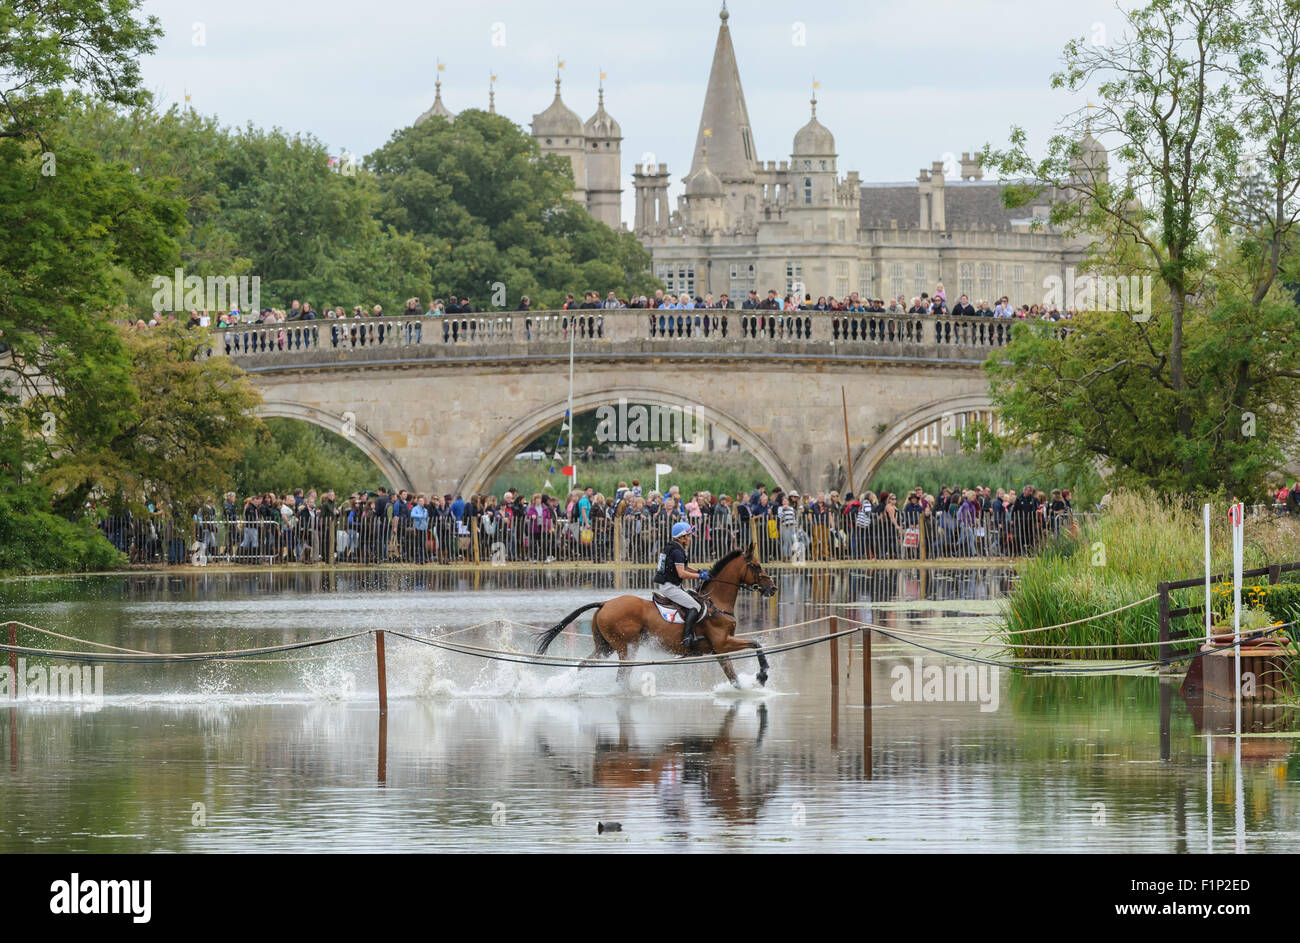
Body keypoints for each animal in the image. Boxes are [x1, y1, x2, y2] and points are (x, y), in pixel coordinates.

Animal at [533, 543, 774, 686]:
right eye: (756, 565)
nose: (772, 587)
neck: (717, 603)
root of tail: (604, 603)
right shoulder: (723, 644)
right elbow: (756, 644)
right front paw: (762, 675)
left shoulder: (720, 651)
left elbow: (734, 677)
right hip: (626, 647)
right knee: (622, 675)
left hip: (605, 647)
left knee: (586, 664)